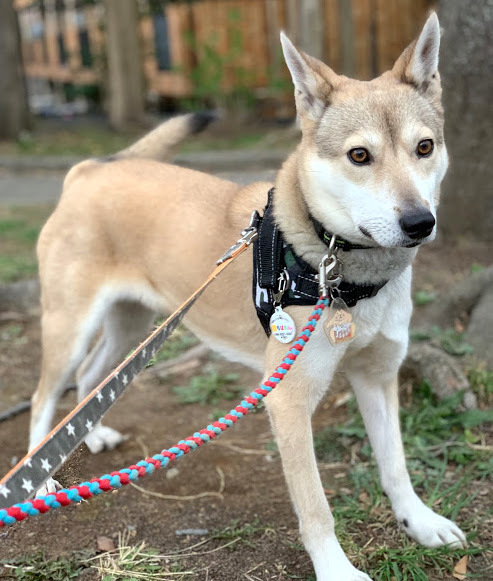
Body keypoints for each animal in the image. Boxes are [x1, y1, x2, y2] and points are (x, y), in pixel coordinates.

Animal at [29, 12, 466, 580]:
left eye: (425, 147)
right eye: (359, 155)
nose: (419, 222)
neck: (339, 271)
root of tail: (91, 169)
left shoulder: (378, 375)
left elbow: (395, 465)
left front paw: (420, 521)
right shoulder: (287, 399)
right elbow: (316, 507)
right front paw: (336, 569)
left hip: (133, 323)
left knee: (91, 378)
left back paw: (93, 435)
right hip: (70, 323)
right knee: (44, 396)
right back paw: (38, 478)